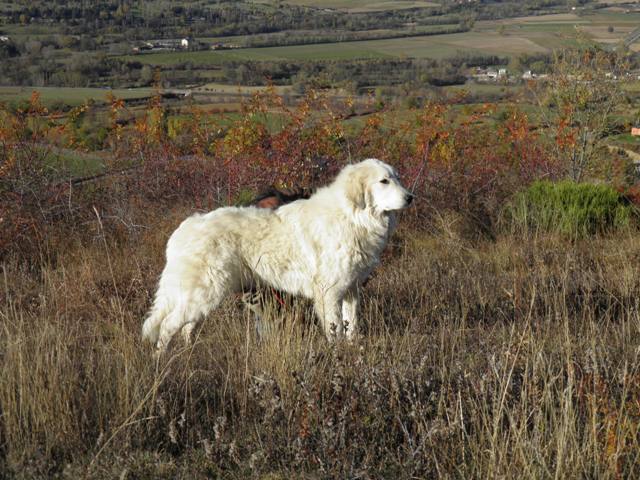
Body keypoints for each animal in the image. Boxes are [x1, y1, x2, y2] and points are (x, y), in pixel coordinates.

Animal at [142, 159, 412, 350]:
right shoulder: (329, 293)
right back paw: (162, 363)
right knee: (167, 326)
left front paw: (355, 351)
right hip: (205, 292)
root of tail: (185, 227)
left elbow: (352, 327)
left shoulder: (352, 289)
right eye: (384, 181)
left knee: (186, 327)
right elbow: (335, 330)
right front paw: (338, 357)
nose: (411, 197)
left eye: (397, 178)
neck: (354, 216)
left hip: (202, 297)